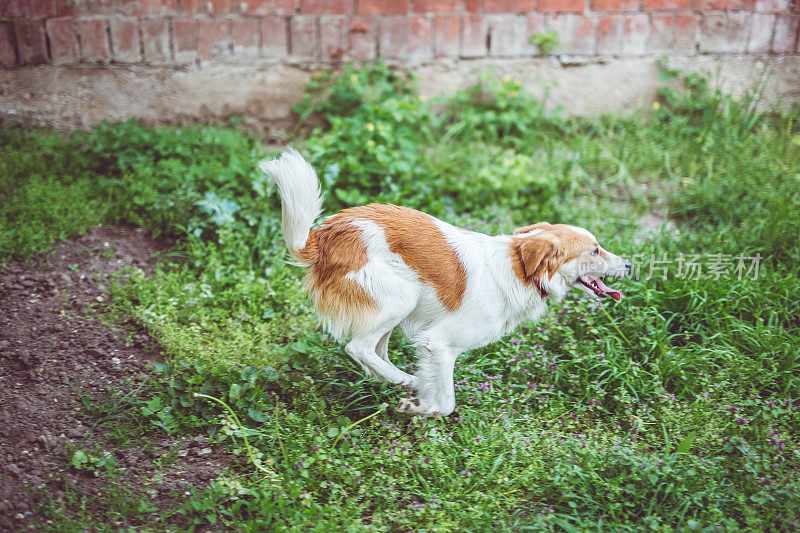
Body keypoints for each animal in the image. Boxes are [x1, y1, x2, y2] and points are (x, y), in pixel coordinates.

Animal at [260, 149, 628, 416]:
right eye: (595, 250)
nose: (628, 263)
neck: (518, 268)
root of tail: (324, 236)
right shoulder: (438, 343)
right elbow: (447, 402)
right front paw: (420, 408)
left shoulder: (428, 345)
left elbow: (436, 390)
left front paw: (420, 401)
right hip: (401, 297)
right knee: (358, 348)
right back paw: (403, 380)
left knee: (376, 351)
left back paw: (398, 382)